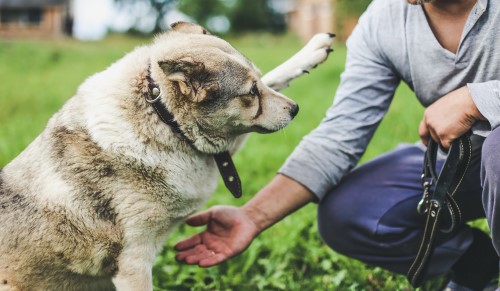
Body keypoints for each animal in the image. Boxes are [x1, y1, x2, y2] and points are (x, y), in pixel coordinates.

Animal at [0, 21, 334, 290]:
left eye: (259, 83)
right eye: (250, 94)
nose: (295, 109)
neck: (164, 117)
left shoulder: (217, 147)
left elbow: (279, 77)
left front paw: (312, 52)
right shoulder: (134, 262)